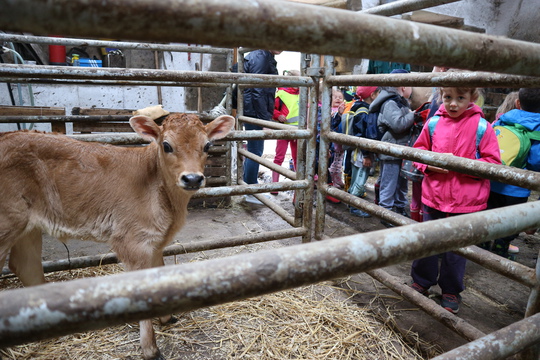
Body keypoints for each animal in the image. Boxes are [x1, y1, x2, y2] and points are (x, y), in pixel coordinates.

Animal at [0, 113, 236, 360]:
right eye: (166, 145)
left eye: (207, 145)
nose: (192, 179)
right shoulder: (131, 242)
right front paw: (150, 349)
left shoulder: (155, 242)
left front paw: (165, 318)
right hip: (7, 222)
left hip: (28, 226)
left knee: (25, 265)